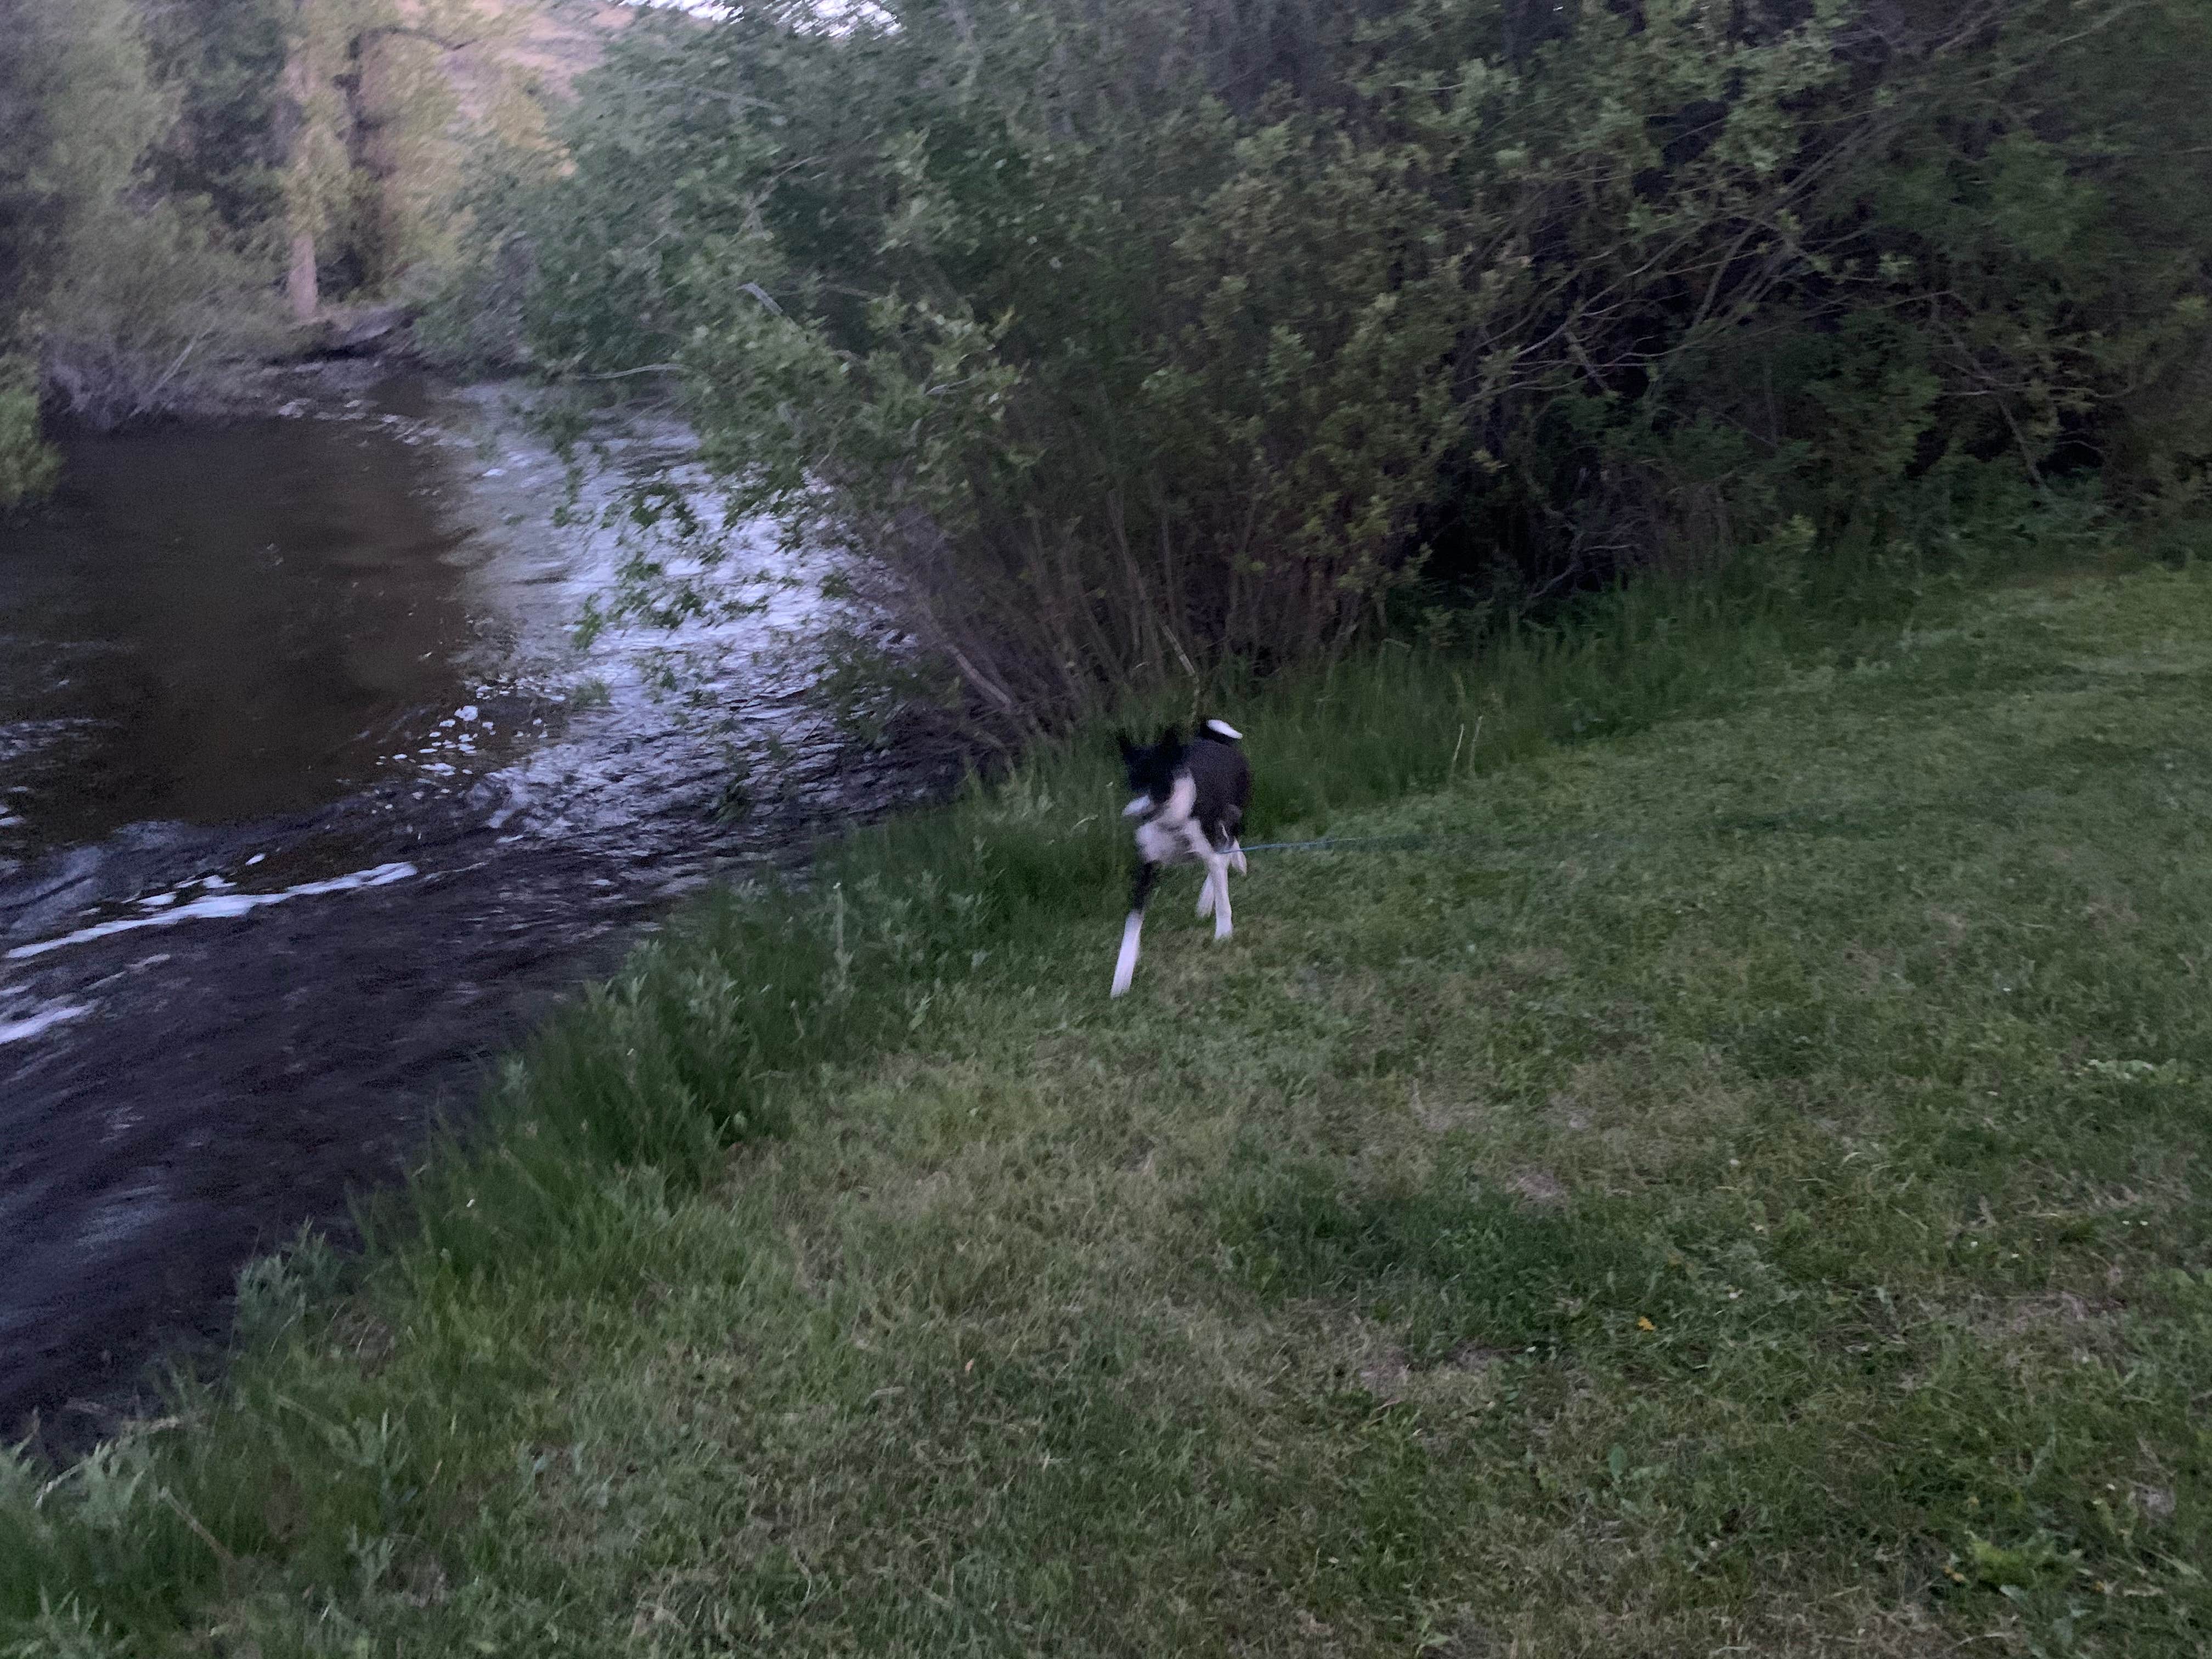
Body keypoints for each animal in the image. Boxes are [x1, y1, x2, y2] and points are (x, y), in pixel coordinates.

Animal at [1115, 716, 1256, 1000]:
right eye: (1131, 782)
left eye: (1158, 781)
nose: (1132, 815)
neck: (1171, 821)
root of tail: (1218, 742)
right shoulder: (1146, 869)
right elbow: (1132, 924)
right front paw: (1123, 974)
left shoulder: (1208, 846)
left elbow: (1223, 900)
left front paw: (1224, 934)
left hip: (1234, 814)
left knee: (1226, 849)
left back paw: (1212, 892)